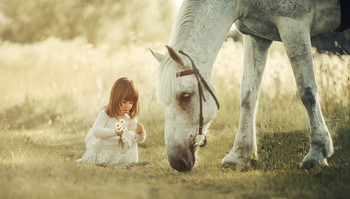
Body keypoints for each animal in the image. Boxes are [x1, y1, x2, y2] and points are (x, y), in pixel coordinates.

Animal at [150, 0, 348, 171]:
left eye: (185, 96)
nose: (177, 162)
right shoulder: (256, 36)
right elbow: (248, 95)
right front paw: (238, 154)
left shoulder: (294, 25)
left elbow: (307, 91)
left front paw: (317, 153)